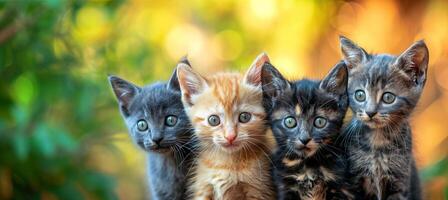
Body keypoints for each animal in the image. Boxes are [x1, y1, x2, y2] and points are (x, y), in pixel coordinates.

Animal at [176, 53, 274, 200]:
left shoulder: (259, 190)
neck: (226, 163)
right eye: (213, 120)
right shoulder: (203, 188)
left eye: (244, 117)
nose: (230, 136)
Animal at [262, 60, 354, 199]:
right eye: (290, 122)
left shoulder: (340, 186)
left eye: (320, 122)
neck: (309, 165)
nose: (304, 139)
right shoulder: (285, 187)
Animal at [340, 36, 428, 200]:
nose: (370, 112)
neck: (378, 141)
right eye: (360, 95)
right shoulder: (355, 183)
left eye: (388, 97)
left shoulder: (400, 182)